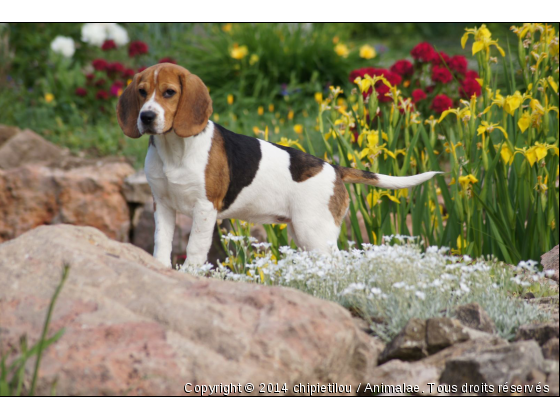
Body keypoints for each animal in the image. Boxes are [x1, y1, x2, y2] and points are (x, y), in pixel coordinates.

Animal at [118, 63, 440, 266]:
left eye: (169, 93)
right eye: (142, 92)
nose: (146, 117)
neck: (174, 149)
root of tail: (334, 168)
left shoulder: (205, 208)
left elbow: (195, 250)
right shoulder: (163, 205)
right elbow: (162, 246)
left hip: (315, 233)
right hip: (302, 233)